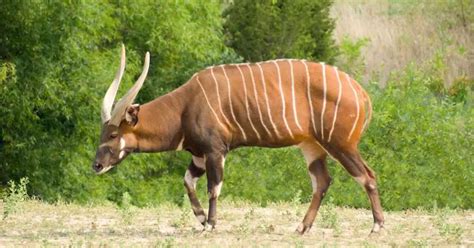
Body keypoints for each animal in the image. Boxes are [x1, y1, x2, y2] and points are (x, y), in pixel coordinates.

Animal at [93, 45, 386, 233]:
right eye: (102, 133)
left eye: (114, 133)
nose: (96, 165)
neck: (186, 105)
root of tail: (361, 92)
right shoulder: (198, 155)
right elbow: (188, 182)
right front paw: (201, 219)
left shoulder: (215, 151)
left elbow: (213, 188)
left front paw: (210, 225)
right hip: (312, 146)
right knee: (322, 181)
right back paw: (302, 227)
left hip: (340, 144)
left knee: (367, 176)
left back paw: (377, 226)